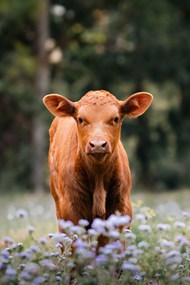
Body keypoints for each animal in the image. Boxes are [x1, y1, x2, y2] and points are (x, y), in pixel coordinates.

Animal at [43, 90, 153, 233]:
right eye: (81, 119)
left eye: (116, 118)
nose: (98, 145)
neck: (98, 176)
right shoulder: (70, 211)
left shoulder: (122, 209)